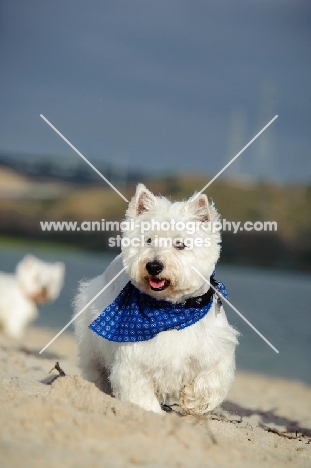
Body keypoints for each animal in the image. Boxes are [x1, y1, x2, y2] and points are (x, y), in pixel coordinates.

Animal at [73, 185, 239, 414]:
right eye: (149, 240)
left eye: (180, 244)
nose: (153, 266)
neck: (170, 309)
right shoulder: (133, 361)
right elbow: (140, 395)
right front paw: (152, 413)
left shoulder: (215, 348)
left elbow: (214, 377)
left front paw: (194, 400)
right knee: (96, 371)